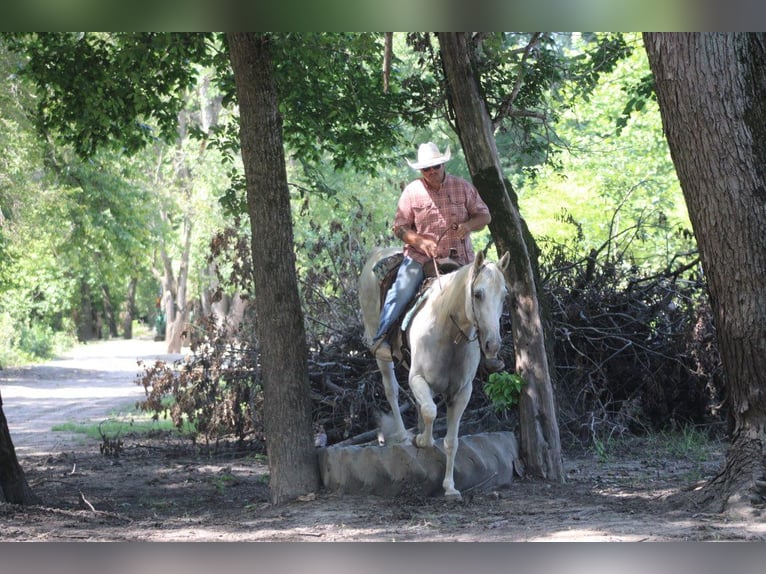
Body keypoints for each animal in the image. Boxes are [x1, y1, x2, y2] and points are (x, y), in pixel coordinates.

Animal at [359, 246, 510, 499]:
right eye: (477, 294)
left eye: (504, 296)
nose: (492, 345)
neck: (448, 333)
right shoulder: (418, 379)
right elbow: (430, 411)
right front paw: (421, 440)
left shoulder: (461, 393)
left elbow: (451, 441)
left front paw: (450, 487)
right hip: (381, 353)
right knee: (392, 391)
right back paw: (404, 435)